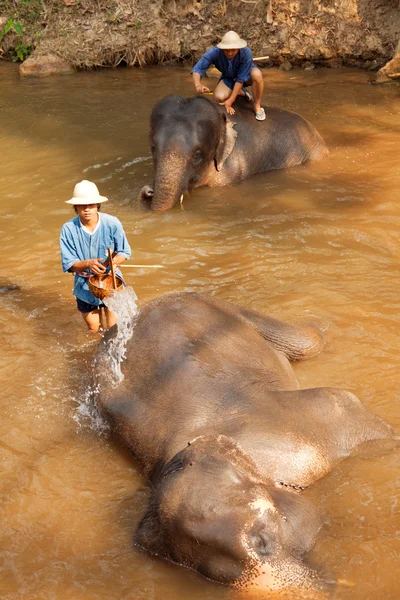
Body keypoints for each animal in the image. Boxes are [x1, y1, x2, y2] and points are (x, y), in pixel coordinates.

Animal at [96, 292, 394, 592]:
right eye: (238, 475)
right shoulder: (315, 420)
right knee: (308, 342)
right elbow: (349, 406)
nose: (196, 444)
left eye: (180, 465)